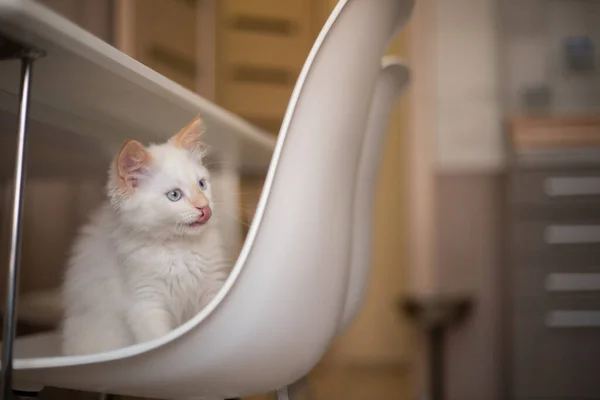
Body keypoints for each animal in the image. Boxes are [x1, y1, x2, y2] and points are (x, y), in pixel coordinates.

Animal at [61, 116, 230, 356]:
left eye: (202, 184)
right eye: (174, 195)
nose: (204, 207)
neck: (179, 248)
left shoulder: (211, 287)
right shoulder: (145, 301)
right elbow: (157, 339)